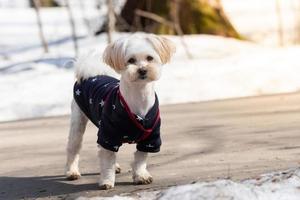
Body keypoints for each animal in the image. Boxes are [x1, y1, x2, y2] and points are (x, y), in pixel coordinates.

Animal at [64, 33, 175, 190]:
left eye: (149, 58)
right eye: (131, 60)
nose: (142, 70)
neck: (139, 97)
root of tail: (93, 74)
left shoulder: (150, 137)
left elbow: (140, 158)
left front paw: (141, 176)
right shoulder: (109, 134)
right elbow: (107, 161)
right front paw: (106, 181)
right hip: (78, 121)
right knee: (74, 147)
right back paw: (72, 171)